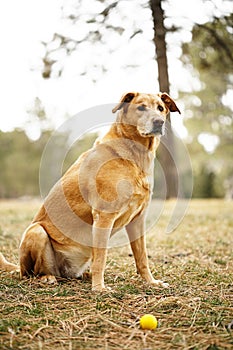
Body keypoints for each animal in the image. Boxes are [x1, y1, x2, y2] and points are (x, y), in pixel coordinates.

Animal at [0, 91, 180, 292]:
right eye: (141, 107)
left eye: (160, 108)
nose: (159, 122)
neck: (135, 155)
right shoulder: (104, 216)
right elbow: (101, 258)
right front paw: (99, 288)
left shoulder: (138, 220)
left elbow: (141, 258)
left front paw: (151, 282)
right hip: (36, 232)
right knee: (30, 273)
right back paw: (46, 277)